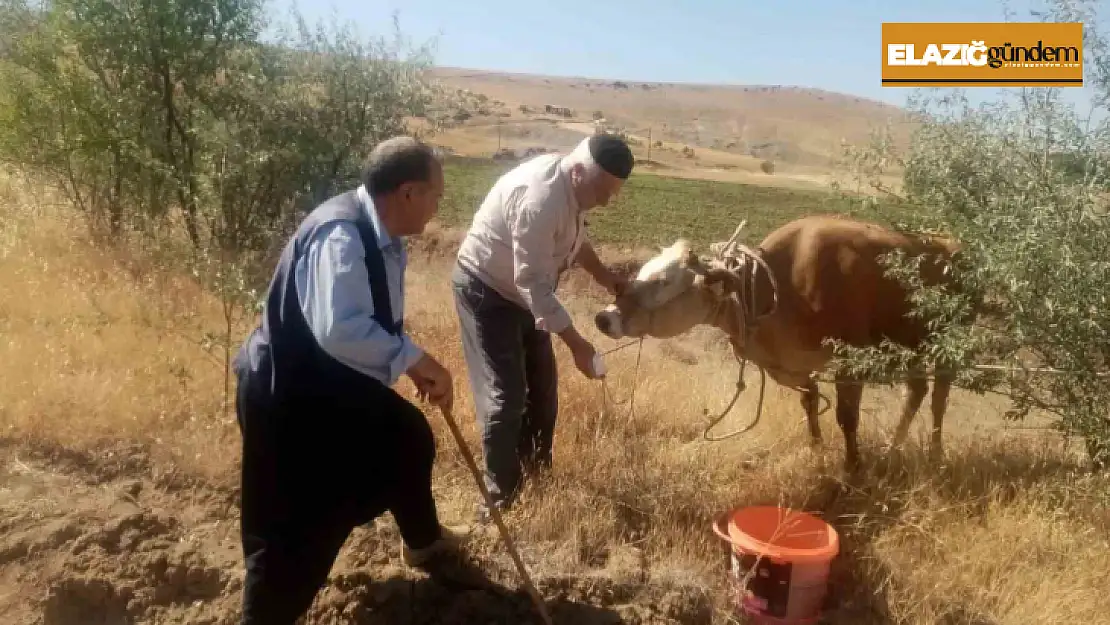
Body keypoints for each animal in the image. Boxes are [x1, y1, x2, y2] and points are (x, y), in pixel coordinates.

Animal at [594, 214, 967, 470]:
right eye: (644, 269)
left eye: (663, 280)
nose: (604, 317)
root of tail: (949, 243)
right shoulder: (795, 365)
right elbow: (810, 403)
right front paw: (817, 450)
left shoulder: (850, 360)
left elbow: (847, 418)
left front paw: (852, 467)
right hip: (913, 343)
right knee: (916, 391)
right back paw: (893, 449)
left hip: (946, 345)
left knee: (939, 398)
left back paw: (934, 455)